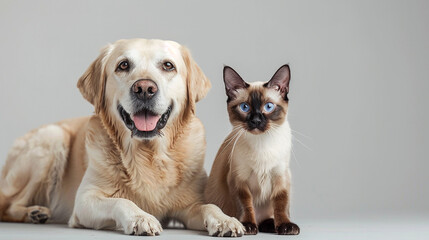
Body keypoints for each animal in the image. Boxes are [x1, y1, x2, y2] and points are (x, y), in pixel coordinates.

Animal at [0, 39, 242, 236]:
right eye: (123, 65)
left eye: (168, 65)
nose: (144, 88)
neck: (149, 155)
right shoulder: (85, 201)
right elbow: (121, 201)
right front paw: (141, 217)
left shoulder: (191, 204)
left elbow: (209, 206)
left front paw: (225, 220)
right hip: (52, 138)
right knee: (7, 204)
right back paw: (33, 212)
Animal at [203, 64, 298, 235]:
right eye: (244, 107)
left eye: (268, 107)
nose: (256, 121)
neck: (261, 144)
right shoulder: (239, 180)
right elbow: (246, 205)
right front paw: (247, 226)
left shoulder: (281, 177)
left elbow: (281, 204)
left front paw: (285, 226)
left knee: (268, 216)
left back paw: (270, 225)